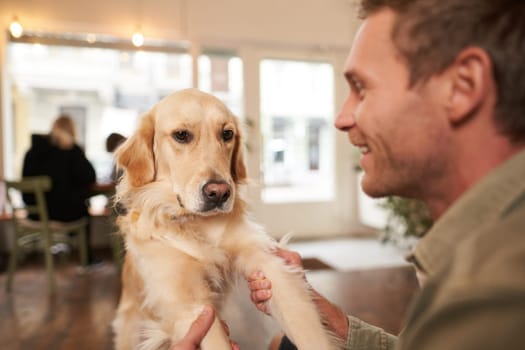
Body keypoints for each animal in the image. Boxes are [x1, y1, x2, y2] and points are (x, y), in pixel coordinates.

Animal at [112, 88, 338, 350]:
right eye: (181, 135)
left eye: (227, 134)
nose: (219, 192)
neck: (197, 224)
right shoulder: (188, 302)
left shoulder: (269, 263)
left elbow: (306, 326)